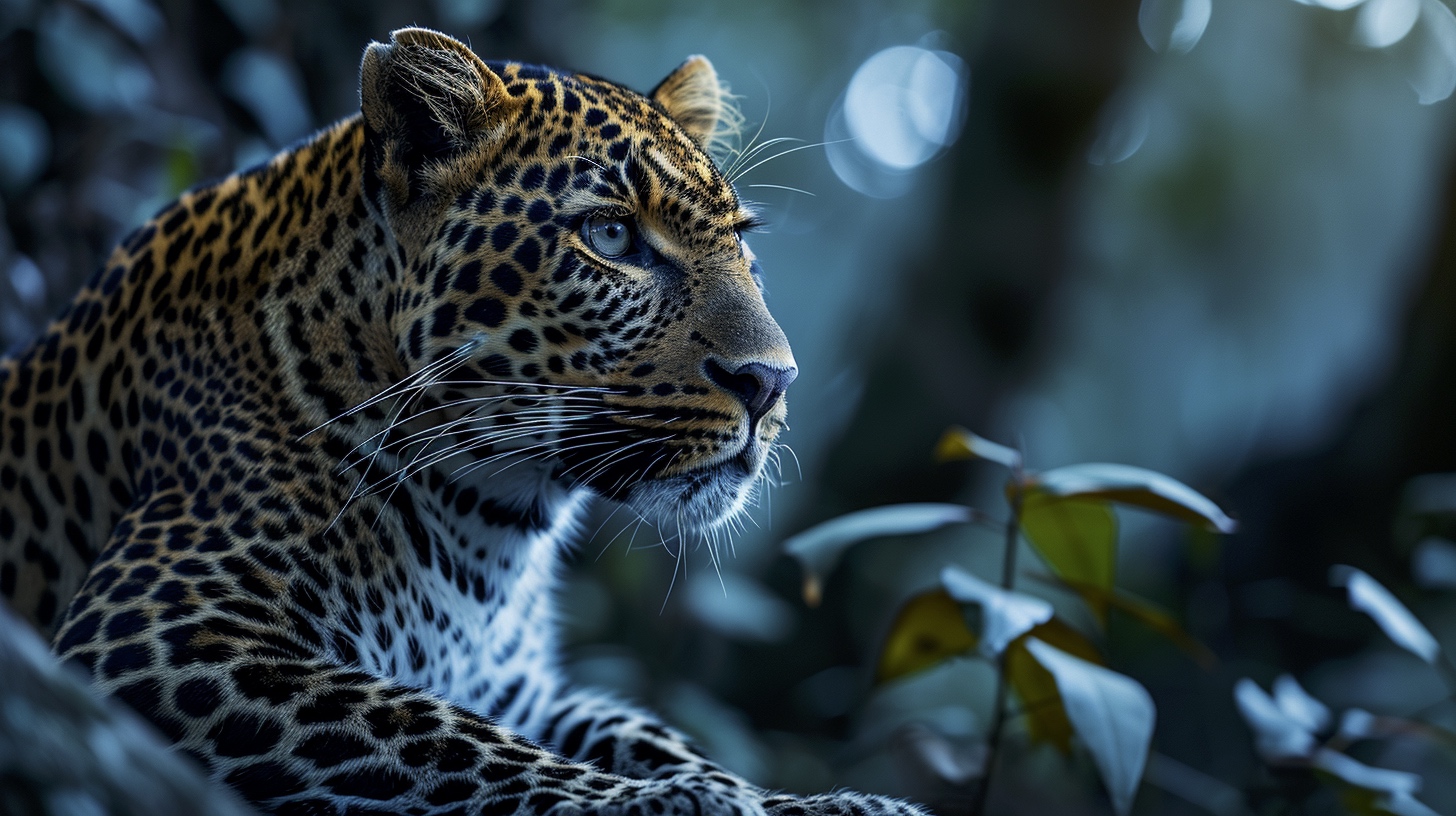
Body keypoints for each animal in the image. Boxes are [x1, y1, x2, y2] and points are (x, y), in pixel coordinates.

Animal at [0, 27, 929, 816]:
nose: (771, 382)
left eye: (742, 245)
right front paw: (674, 802)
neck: (491, 528)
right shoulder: (155, 632)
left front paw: (813, 803)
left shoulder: (528, 692)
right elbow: (433, 732)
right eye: (610, 235)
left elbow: (640, 730)